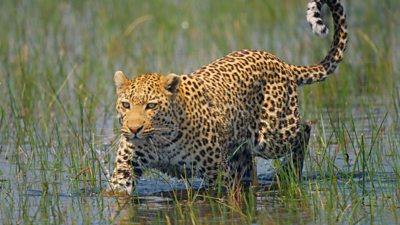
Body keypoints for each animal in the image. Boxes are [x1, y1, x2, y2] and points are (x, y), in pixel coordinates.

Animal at [108, 0, 346, 195]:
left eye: (151, 105)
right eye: (126, 105)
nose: (134, 129)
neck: (160, 141)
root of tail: (281, 62)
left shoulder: (217, 173)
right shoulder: (125, 170)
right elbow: (116, 195)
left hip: (273, 136)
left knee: (305, 129)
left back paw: (292, 172)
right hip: (242, 151)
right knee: (249, 170)